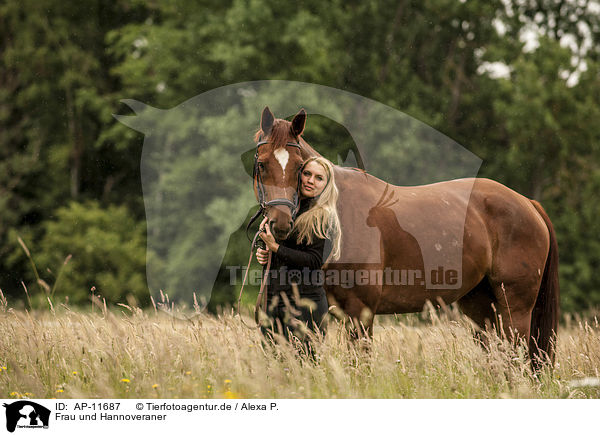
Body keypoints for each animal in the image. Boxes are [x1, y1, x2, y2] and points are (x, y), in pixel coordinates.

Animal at [252, 107, 556, 366]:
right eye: (263, 164)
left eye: (299, 167)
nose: (280, 223)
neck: (339, 211)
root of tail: (528, 204)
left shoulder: (360, 312)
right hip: (482, 308)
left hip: (515, 309)